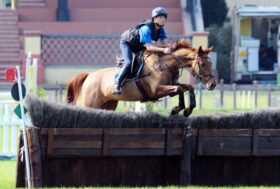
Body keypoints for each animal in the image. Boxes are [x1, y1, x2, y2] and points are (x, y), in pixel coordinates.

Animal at [66, 39, 217, 116]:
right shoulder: (156, 90)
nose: (212, 84)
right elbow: (179, 89)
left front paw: (187, 110)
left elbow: (187, 87)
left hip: (108, 104)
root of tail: (89, 75)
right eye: (202, 64)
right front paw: (177, 110)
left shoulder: (171, 86)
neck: (165, 65)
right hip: (91, 103)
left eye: (210, 63)